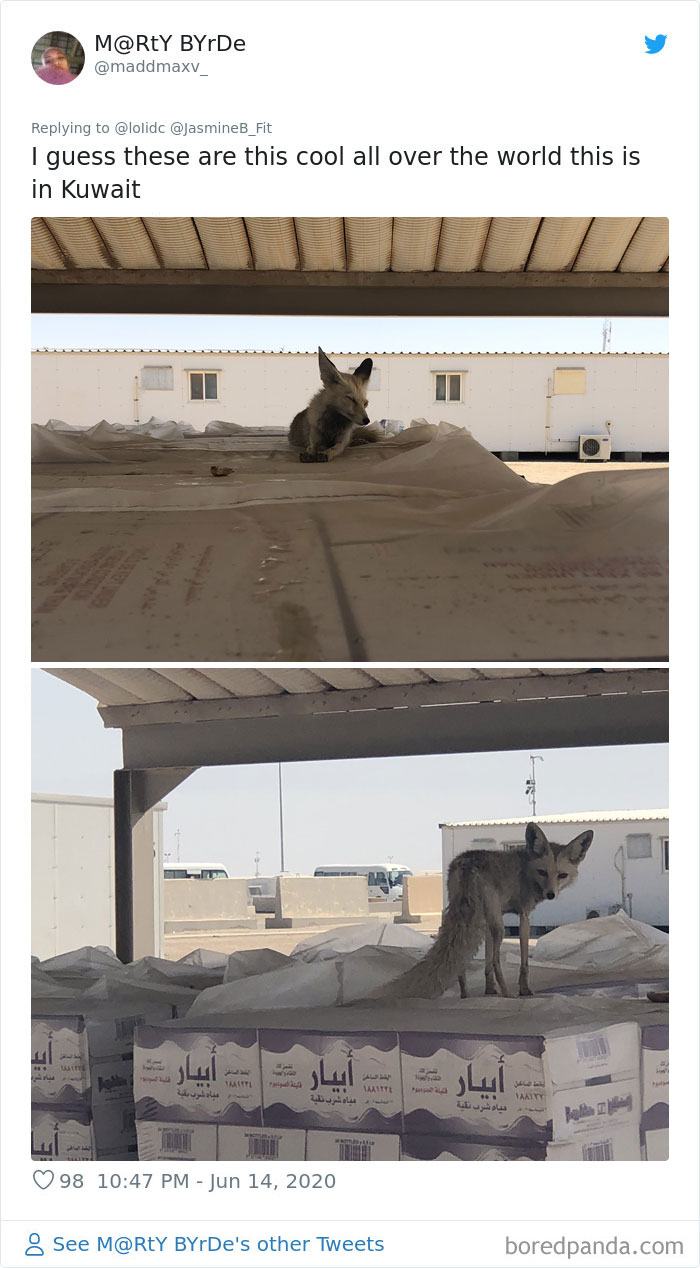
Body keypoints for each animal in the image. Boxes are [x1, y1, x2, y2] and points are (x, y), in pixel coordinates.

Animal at [370, 823, 594, 1001]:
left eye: (562, 875)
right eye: (543, 872)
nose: (551, 894)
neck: (526, 869)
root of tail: (467, 864)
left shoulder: (489, 918)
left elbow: (485, 964)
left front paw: (489, 990)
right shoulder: (523, 916)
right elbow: (522, 961)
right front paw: (524, 990)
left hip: (460, 914)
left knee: (460, 959)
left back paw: (465, 995)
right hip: (499, 928)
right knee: (496, 960)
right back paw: (508, 995)